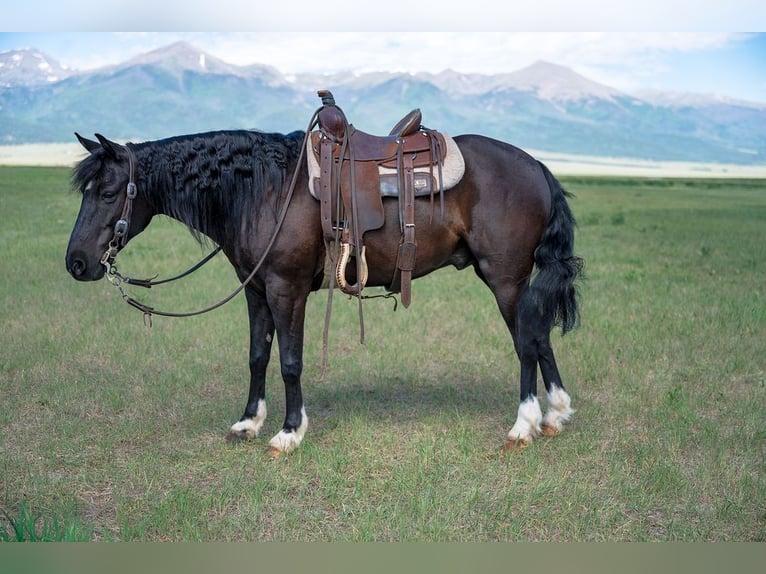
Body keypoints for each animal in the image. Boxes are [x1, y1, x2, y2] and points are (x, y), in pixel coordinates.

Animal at [65, 121, 583, 455]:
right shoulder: (256, 290)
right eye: (85, 192)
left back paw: (524, 424)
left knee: (525, 343)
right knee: (539, 335)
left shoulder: (286, 288)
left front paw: (289, 432)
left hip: (505, 279)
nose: (76, 263)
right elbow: (258, 355)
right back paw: (556, 413)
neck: (266, 191)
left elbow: (290, 361)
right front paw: (248, 422)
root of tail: (537, 167)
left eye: (107, 193)